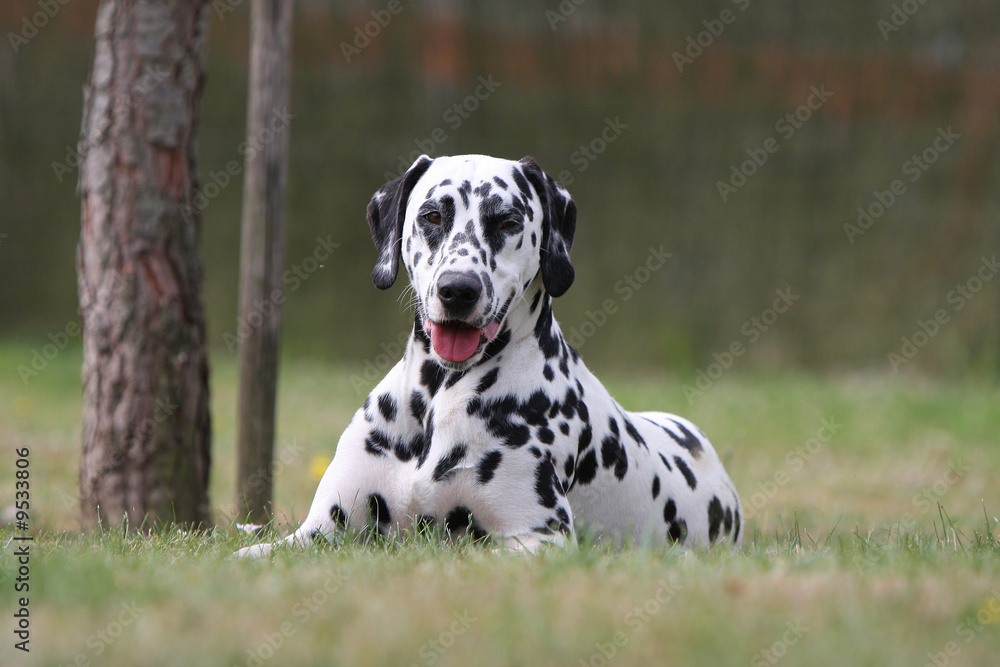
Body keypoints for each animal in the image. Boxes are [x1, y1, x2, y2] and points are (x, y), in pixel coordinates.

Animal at [238, 154, 744, 556]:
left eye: (507, 221)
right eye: (432, 216)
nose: (458, 289)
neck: (437, 398)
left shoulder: (538, 538)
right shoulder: (321, 532)